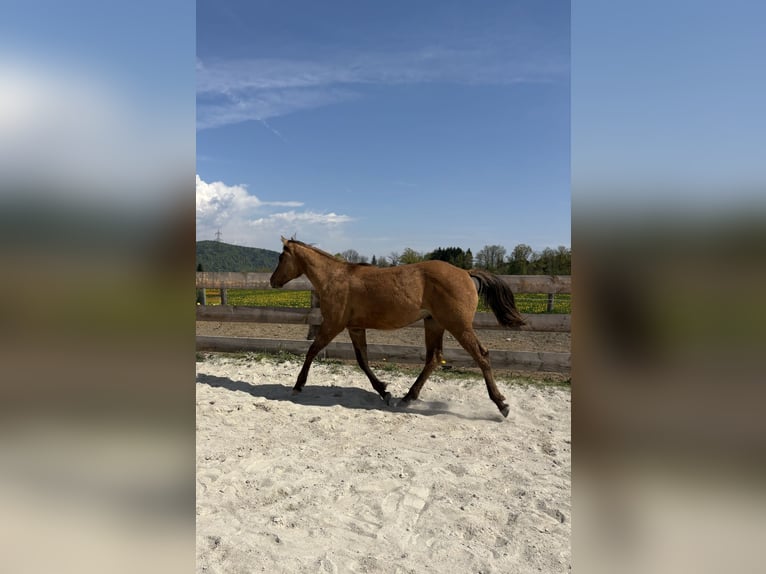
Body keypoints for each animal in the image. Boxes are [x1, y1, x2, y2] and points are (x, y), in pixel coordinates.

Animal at [269, 237, 526, 417]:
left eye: (281, 257)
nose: (272, 281)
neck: (335, 278)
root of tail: (465, 272)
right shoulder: (355, 328)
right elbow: (362, 360)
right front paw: (385, 391)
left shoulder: (333, 324)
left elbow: (312, 351)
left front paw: (297, 386)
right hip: (434, 323)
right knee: (434, 358)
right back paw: (407, 398)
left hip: (458, 326)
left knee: (481, 355)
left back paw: (501, 404)